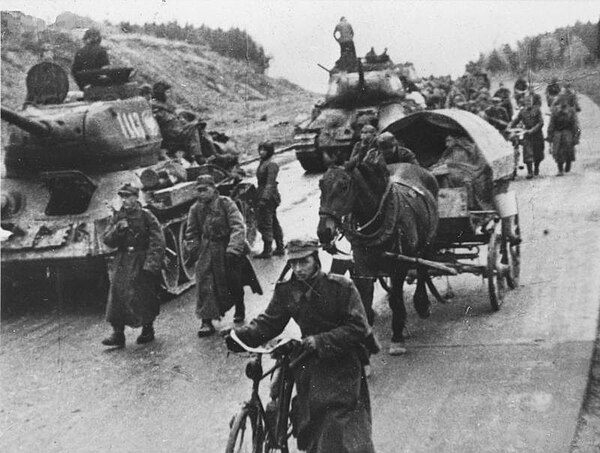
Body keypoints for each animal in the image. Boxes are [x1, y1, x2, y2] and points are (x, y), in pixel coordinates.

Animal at [316, 161, 438, 354]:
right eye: (320, 185)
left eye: (344, 186)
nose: (323, 232)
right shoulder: (362, 266)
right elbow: (365, 300)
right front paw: (366, 339)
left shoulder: (399, 266)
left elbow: (396, 298)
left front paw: (397, 336)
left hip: (428, 242)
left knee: (422, 269)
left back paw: (422, 303)